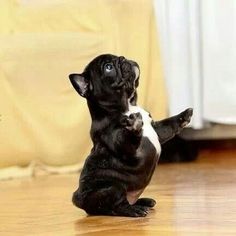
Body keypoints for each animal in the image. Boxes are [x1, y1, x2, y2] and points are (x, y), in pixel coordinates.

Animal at [68, 54, 194, 217]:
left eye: (117, 57)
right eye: (108, 67)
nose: (123, 58)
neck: (128, 105)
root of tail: (79, 201)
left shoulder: (156, 130)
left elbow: (169, 125)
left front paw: (184, 115)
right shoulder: (117, 140)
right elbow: (127, 140)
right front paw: (134, 125)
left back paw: (144, 201)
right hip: (113, 187)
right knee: (115, 207)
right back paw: (135, 210)